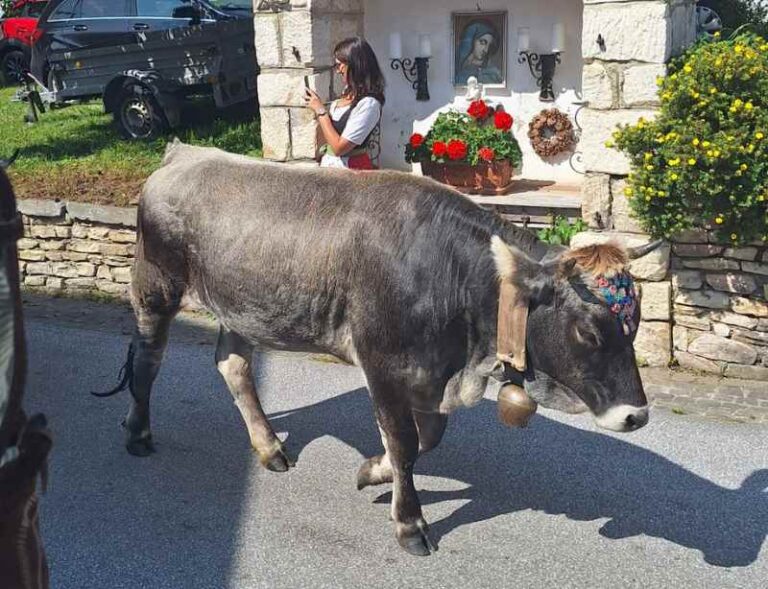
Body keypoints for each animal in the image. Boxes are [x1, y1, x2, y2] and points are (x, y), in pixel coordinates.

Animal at [109, 142, 660, 556]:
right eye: (588, 332)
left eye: (634, 324)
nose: (636, 416)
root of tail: (184, 154)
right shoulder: (381, 363)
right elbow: (405, 441)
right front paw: (410, 524)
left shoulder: (429, 374)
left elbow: (426, 439)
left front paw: (373, 472)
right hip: (156, 286)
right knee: (148, 361)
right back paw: (137, 433)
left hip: (245, 308)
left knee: (234, 366)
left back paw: (269, 448)